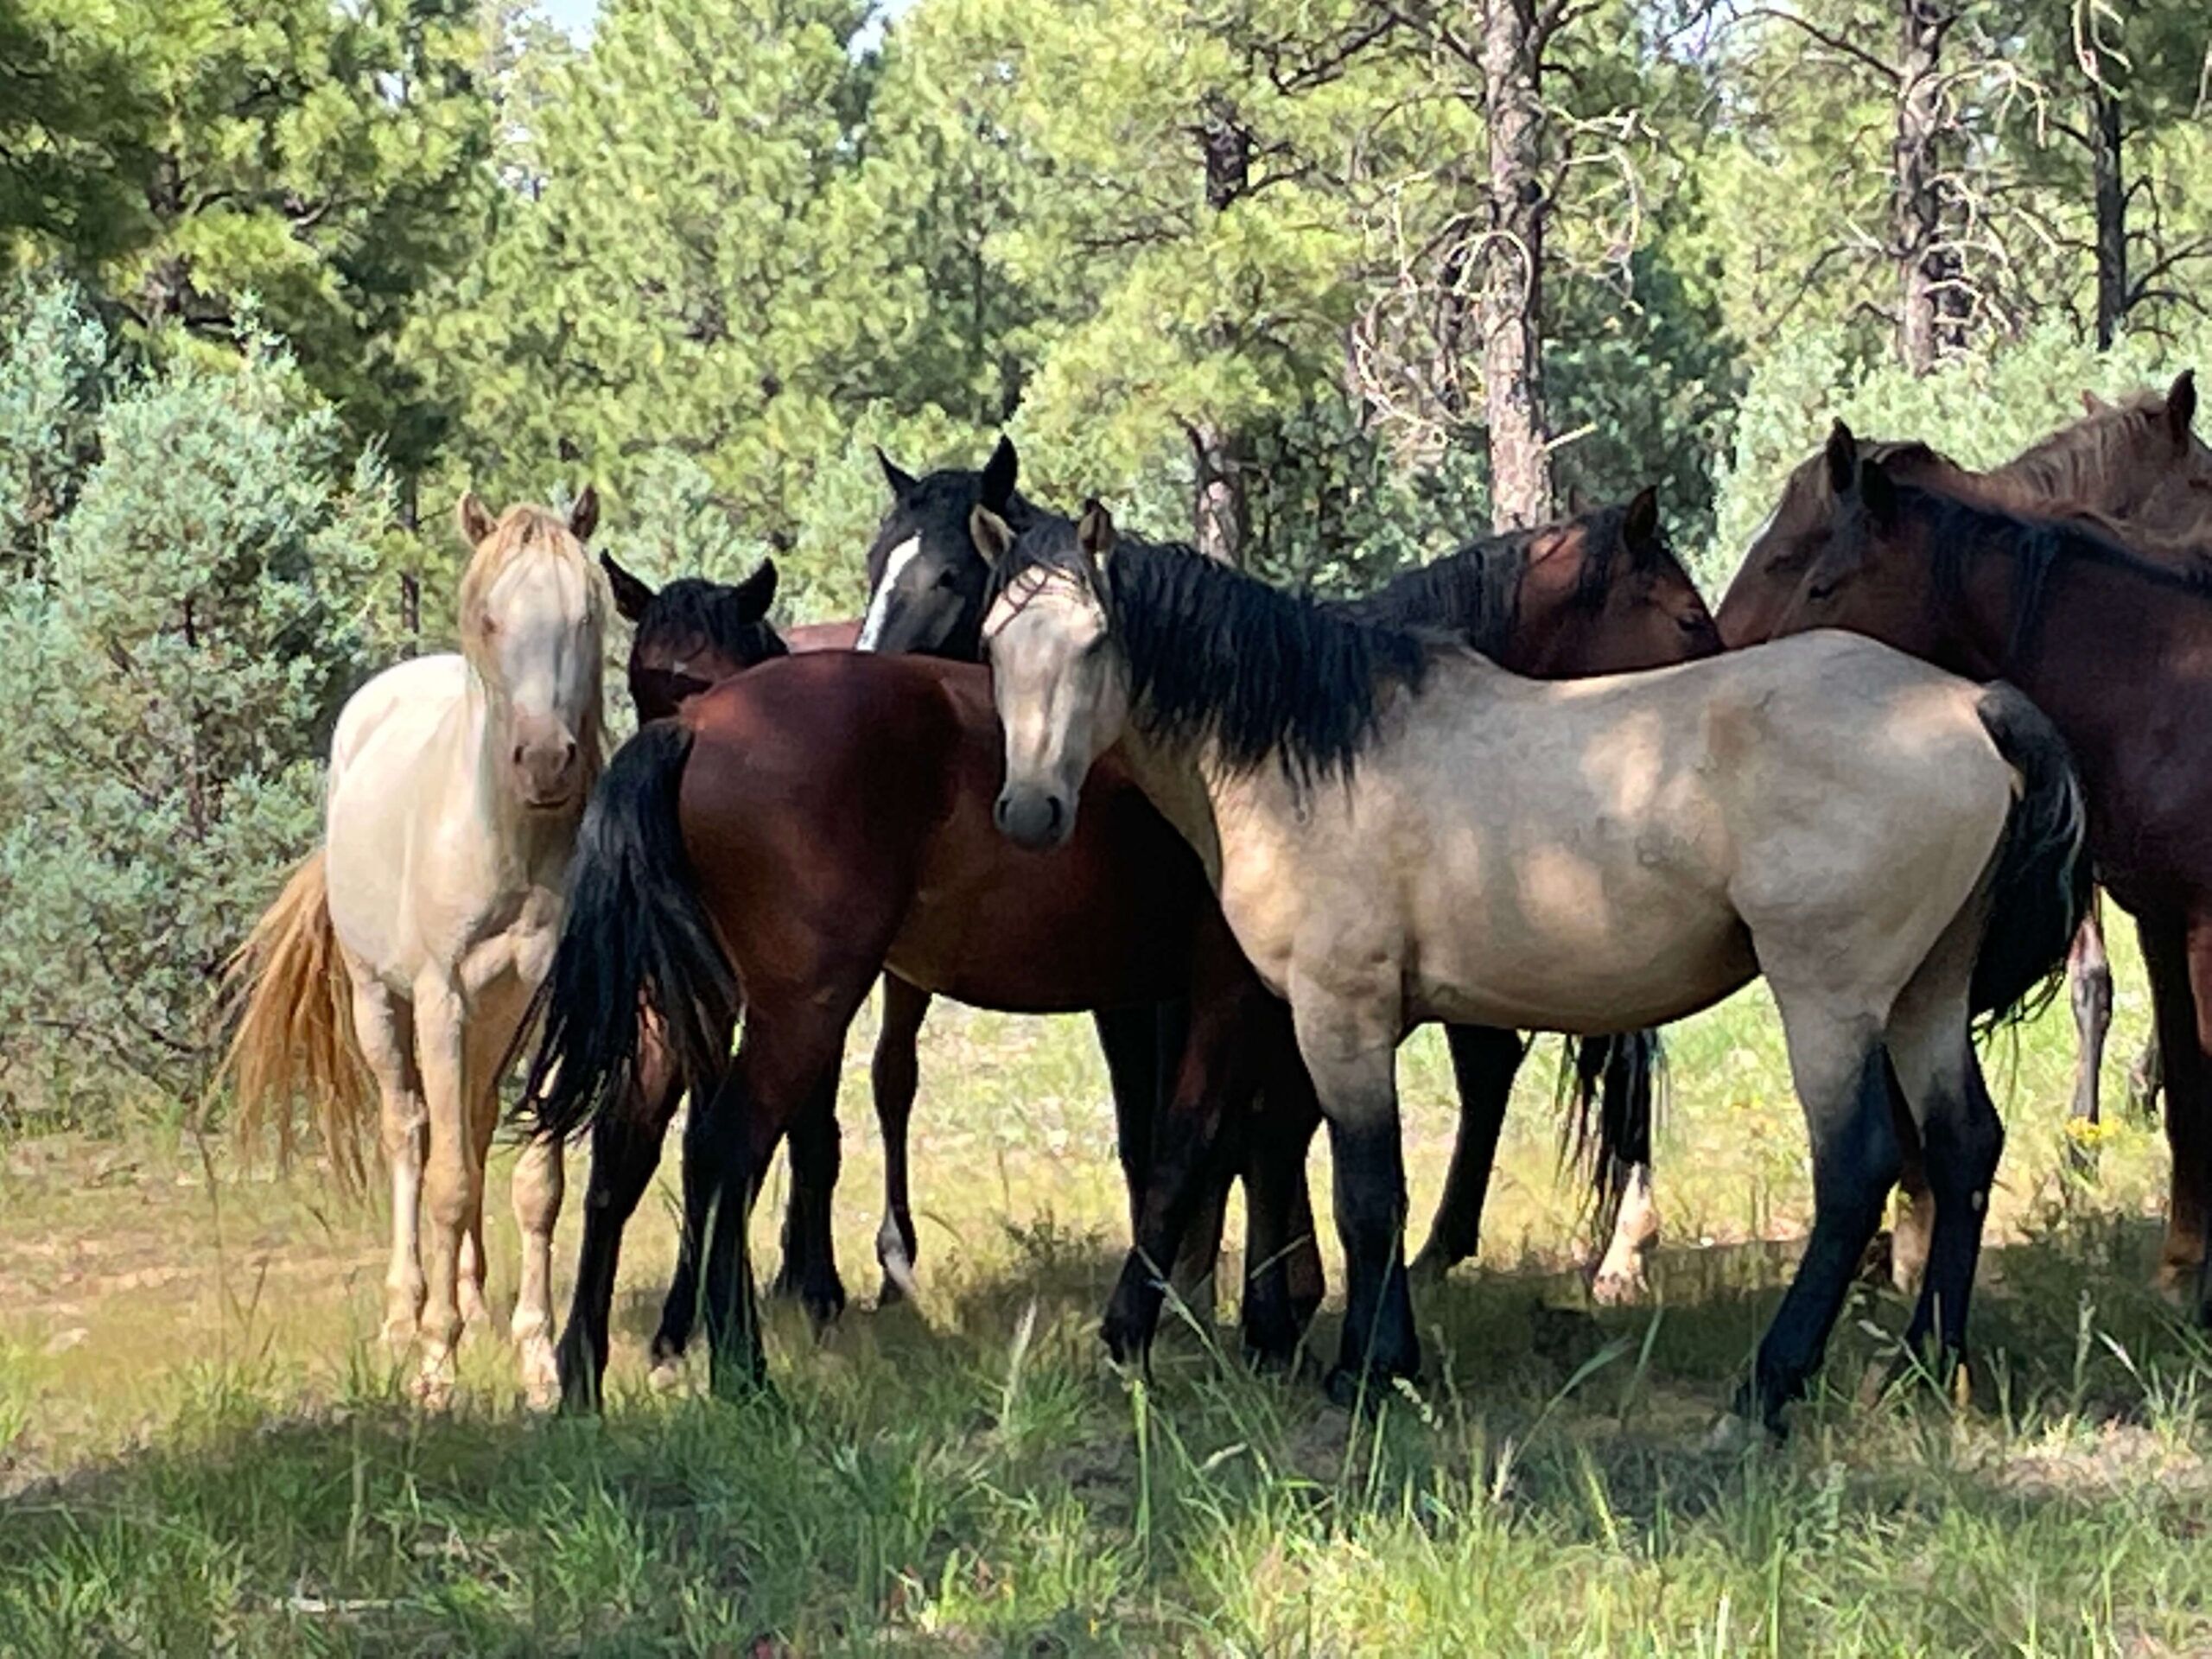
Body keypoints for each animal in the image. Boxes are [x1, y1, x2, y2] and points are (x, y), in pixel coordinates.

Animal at [228, 491, 609, 1403]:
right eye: (490, 617)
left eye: (585, 615)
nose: (545, 761)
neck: (509, 843)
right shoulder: (443, 1000)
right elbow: (446, 1182)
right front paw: (437, 1362)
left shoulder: (553, 1007)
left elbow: (535, 1184)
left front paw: (538, 1360)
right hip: (382, 1004)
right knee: (409, 1132)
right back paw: (407, 1315)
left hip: (494, 1024)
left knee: (467, 1121)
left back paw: (467, 1296)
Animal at [854, 447, 1722, 1300]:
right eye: (876, 562)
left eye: (949, 575)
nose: (868, 676)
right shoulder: (1171, 995)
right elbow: (1198, 1131)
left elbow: (1222, 1130)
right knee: (1500, 1067)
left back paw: (1604, 1249)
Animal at [978, 503, 2087, 1431]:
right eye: (993, 643)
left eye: (1093, 642)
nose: (1029, 812)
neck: (1316, 750)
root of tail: (1967, 706)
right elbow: (1302, 1171)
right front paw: (1374, 1357)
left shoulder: (1336, 1013)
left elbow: (1356, 1192)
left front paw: (1354, 1372)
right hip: (1926, 992)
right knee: (1964, 1144)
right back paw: (1924, 1368)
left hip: (1830, 999)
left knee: (1854, 1169)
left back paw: (1767, 1389)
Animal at [1717, 398, 2212, 1320]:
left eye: (1820, 580)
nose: (1746, 663)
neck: (2168, 682)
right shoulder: (2163, 919)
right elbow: (2190, 1089)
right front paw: (2182, 1269)